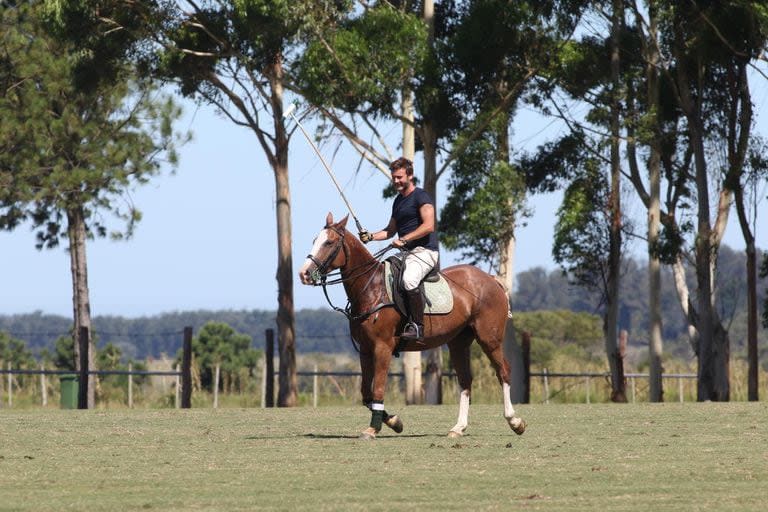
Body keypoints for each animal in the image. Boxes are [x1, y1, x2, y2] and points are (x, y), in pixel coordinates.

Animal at [296, 212, 524, 440]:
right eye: (315, 240)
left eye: (329, 242)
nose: (304, 274)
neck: (372, 289)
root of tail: (493, 280)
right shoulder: (366, 350)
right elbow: (366, 393)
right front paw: (394, 422)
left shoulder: (383, 347)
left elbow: (378, 389)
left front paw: (373, 428)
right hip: (459, 341)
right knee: (465, 380)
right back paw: (458, 428)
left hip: (489, 338)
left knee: (503, 371)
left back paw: (515, 421)